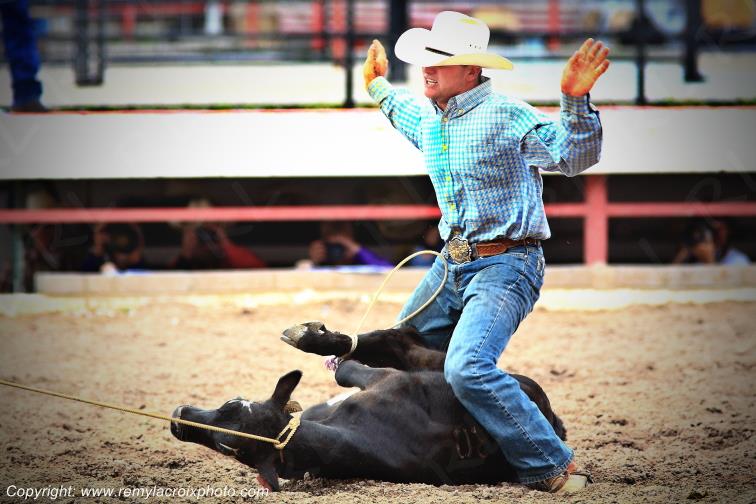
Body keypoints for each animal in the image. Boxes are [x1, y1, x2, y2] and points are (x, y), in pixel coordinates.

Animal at [170, 322, 567, 492]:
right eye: (226, 447)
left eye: (232, 403)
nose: (178, 418)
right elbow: (346, 369)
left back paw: (316, 337)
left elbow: (344, 370)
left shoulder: (385, 381)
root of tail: (555, 423)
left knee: (396, 338)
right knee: (400, 338)